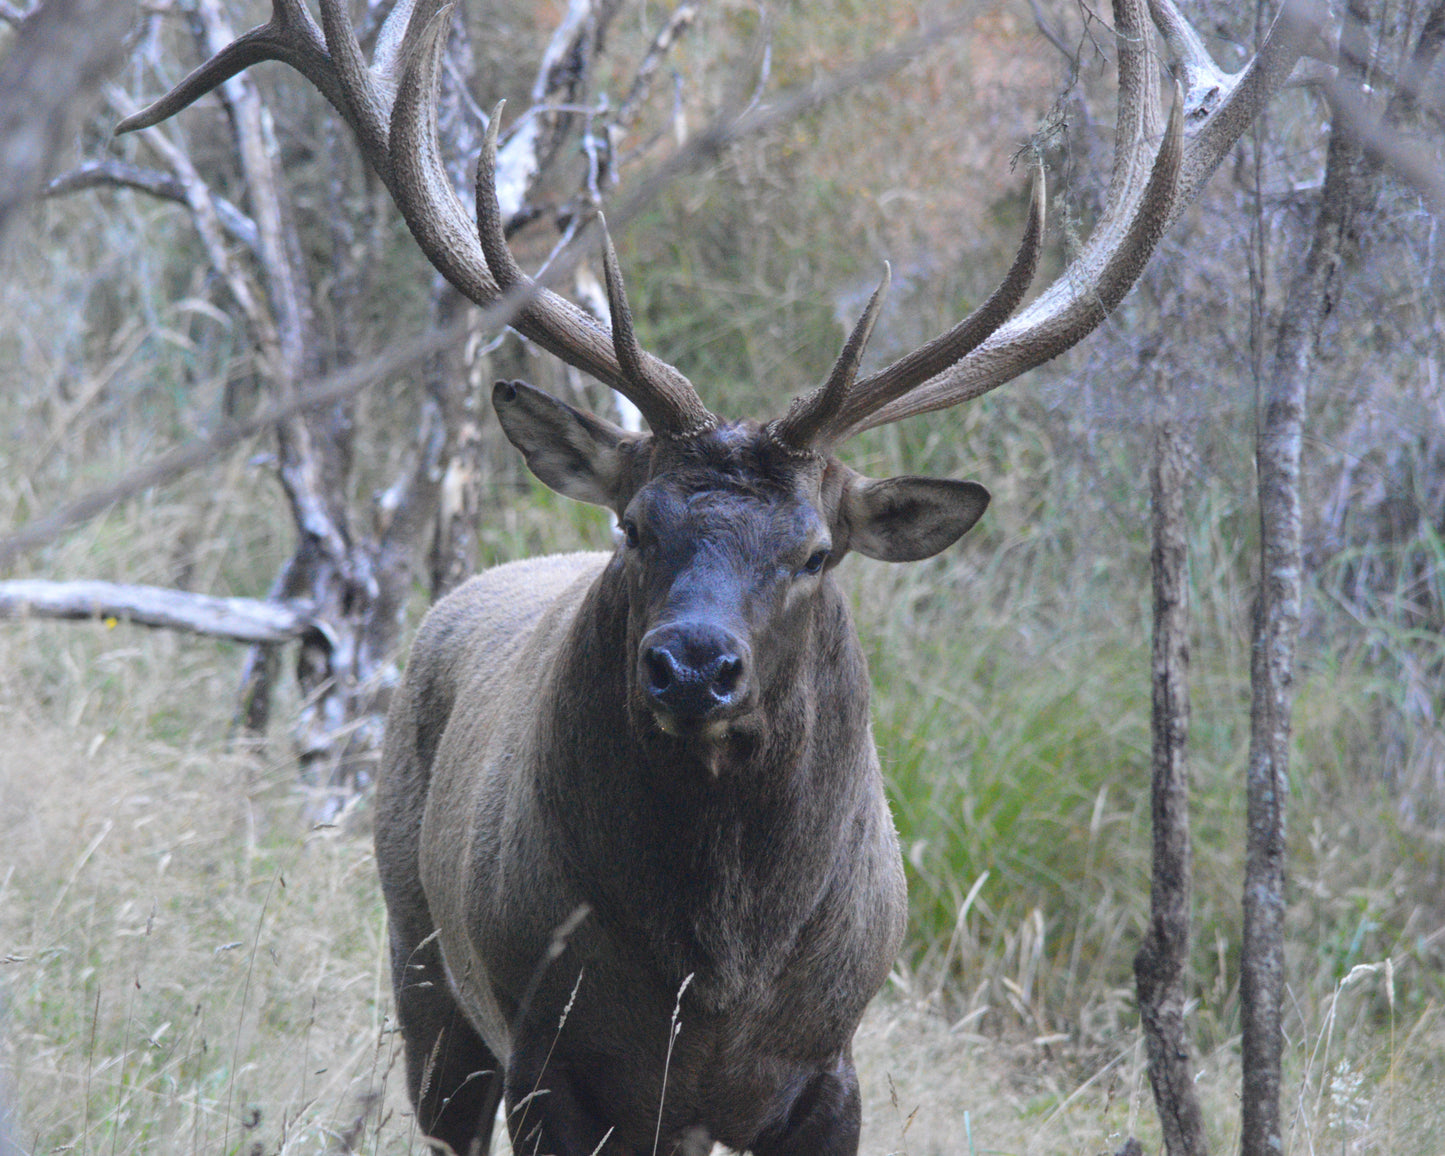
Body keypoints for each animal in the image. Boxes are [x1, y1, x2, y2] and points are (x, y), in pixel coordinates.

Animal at [117, 1, 1316, 1152]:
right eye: (633, 524)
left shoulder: (826, 1073)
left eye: (817, 550)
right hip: (423, 964)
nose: (692, 666)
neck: (716, 984)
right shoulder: (551, 1065)